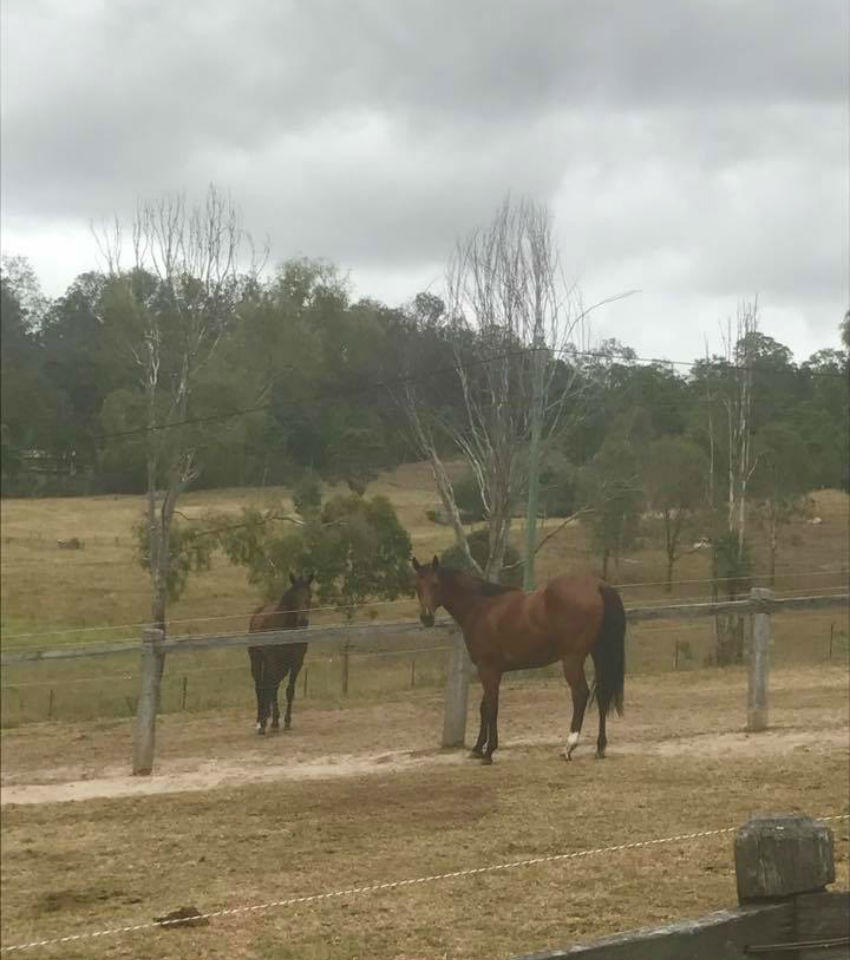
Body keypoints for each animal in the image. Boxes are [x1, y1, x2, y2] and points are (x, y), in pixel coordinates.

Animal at [247, 572, 314, 735]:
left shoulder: (296, 662)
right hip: (257, 660)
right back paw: (260, 721)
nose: (303, 621)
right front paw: (270, 723)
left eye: (310, 595)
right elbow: (270, 687)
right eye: (294, 596)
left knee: (271, 686)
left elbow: (289, 690)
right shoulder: (273, 660)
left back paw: (269, 717)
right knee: (260, 686)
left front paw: (286, 721)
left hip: (281, 666)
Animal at [411, 556, 625, 764]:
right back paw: (600, 747)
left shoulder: (487, 669)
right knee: (602, 694)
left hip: (572, 659)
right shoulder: (491, 670)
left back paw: (569, 747)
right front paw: (477, 749)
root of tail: (598, 586)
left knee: (580, 694)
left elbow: (491, 707)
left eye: (435, 584)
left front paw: (489, 752)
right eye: (418, 586)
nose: (426, 618)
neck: (481, 607)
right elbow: (484, 707)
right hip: (598, 653)